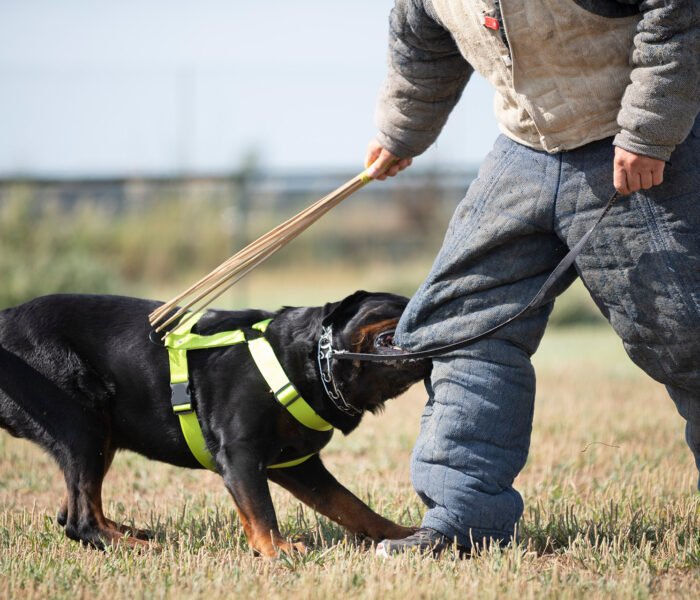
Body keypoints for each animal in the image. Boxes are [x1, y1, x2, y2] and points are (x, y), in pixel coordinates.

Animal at [0, 290, 430, 556]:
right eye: (400, 302)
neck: (311, 362)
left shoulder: (297, 464)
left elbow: (350, 504)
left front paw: (402, 535)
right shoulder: (240, 453)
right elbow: (261, 509)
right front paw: (277, 550)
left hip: (100, 433)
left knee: (72, 508)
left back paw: (128, 533)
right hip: (81, 425)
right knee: (79, 520)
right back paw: (139, 548)